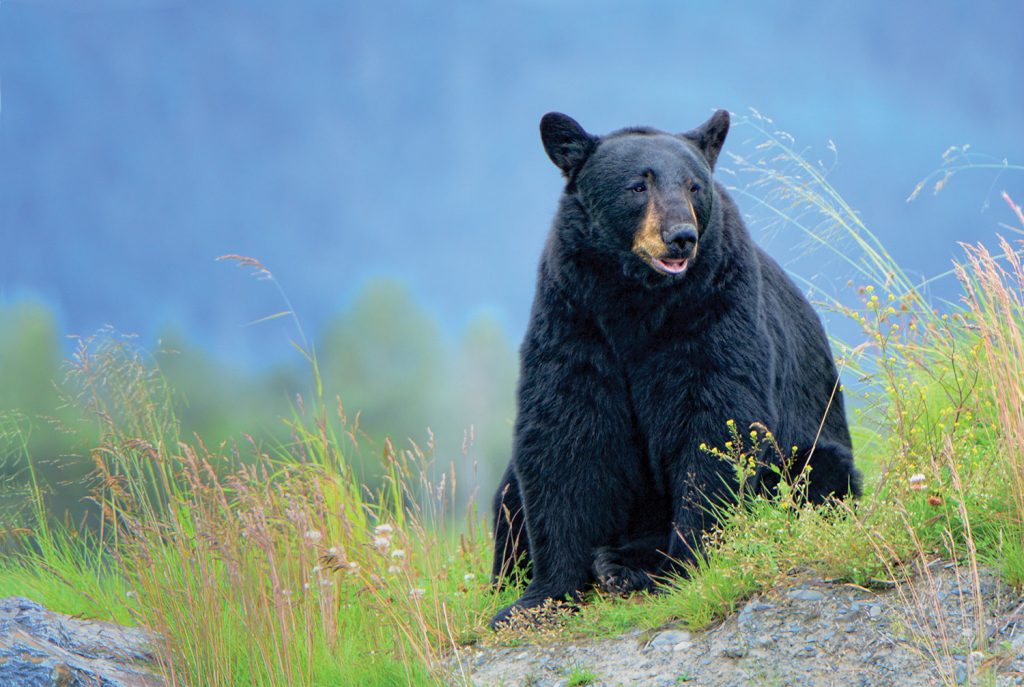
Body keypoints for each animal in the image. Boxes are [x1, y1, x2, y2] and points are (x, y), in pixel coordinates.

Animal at [491, 110, 860, 630]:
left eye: (694, 186)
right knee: (508, 496)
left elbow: (715, 425)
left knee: (815, 475)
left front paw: (682, 565)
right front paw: (538, 597)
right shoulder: (574, 316)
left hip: (812, 452)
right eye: (637, 185)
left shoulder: (713, 309)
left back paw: (625, 564)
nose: (681, 236)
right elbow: (567, 431)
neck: (637, 301)